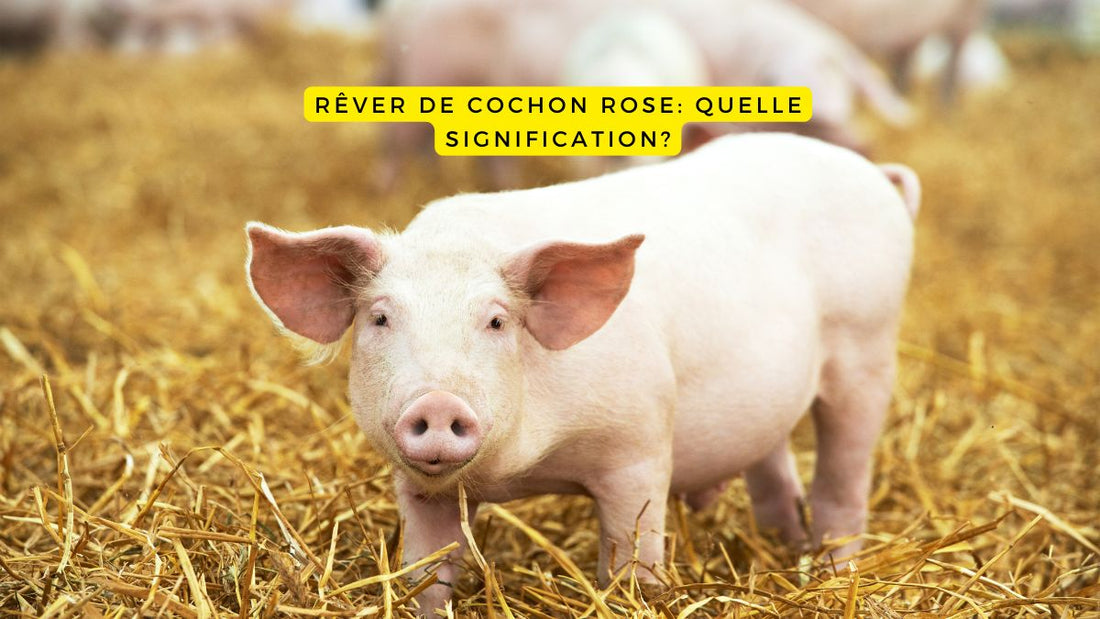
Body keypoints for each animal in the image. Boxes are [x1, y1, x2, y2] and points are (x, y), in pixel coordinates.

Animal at [246, 132, 920, 614]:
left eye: (497, 321)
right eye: (381, 317)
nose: (438, 403)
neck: (521, 472)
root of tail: (875, 176)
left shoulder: (639, 446)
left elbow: (631, 560)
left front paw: (637, 595)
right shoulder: (418, 488)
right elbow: (427, 573)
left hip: (869, 350)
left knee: (842, 481)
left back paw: (834, 571)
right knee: (774, 467)